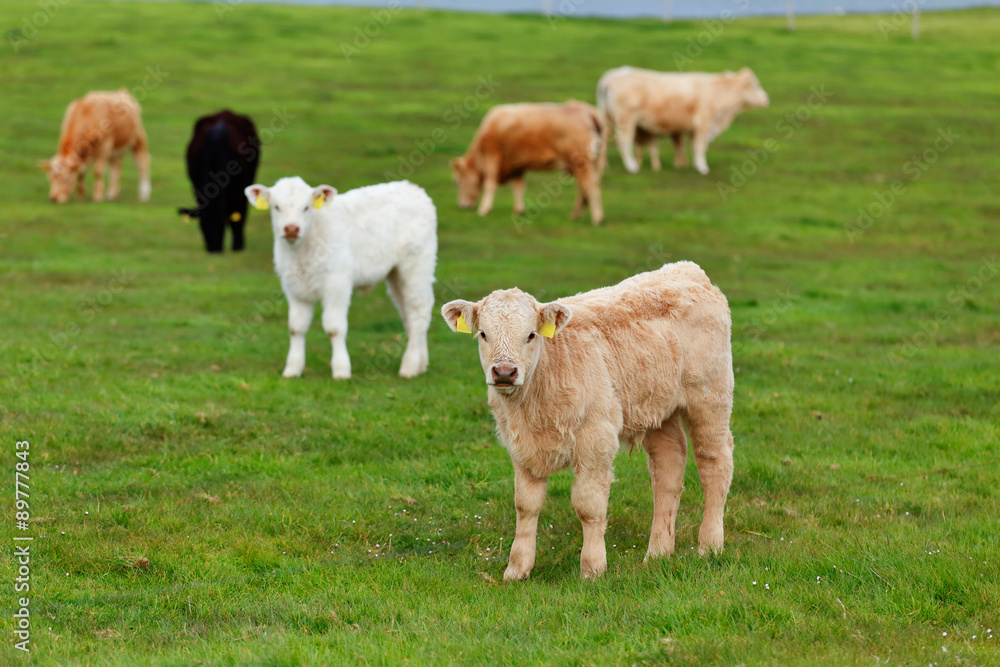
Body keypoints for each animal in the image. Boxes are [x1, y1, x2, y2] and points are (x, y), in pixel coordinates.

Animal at [179, 110, 261, 253]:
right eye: (202, 226)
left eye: (222, 227)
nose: (214, 251)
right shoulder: (197, 185)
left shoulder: (240, 186)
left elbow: (238, 217)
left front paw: (238, 247)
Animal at [442, 262, 735, 580]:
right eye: (483, 334)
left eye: (531, 335)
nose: (505, 372)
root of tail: (688, 270)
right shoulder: (520, 447)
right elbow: (525, 505)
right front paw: (517, 569)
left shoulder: (596, 439)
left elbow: (588, 506)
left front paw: (593, 569)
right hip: (658, 409)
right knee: (668, 467)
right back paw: (657, 553)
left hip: (710, 398)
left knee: (714, 464)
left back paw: (710, 545)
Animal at [451, 101, 605, 225]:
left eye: (458, 182)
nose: (461, 205)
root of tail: (588, 111)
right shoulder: (518, 165)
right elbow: (518, 186)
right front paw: (518, 209)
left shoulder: (493, 155)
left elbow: (490, 183)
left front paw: (484, 209)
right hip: (591, 163)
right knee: (584, 187)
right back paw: (575, 215)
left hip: (582, 162)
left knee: (591, 186)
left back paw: (597, 219)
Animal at [597, 66, 769, 175]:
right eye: (756, 85)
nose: (766, 100)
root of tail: (611, 76)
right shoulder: (704, 123)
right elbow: (700, 147)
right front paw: (703, 168)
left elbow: (694, 146)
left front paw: (694, 165)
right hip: (626, 120)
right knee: (623, 141)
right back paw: (631, 166)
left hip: (606, 118)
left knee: (604, 141)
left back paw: (603, 165)